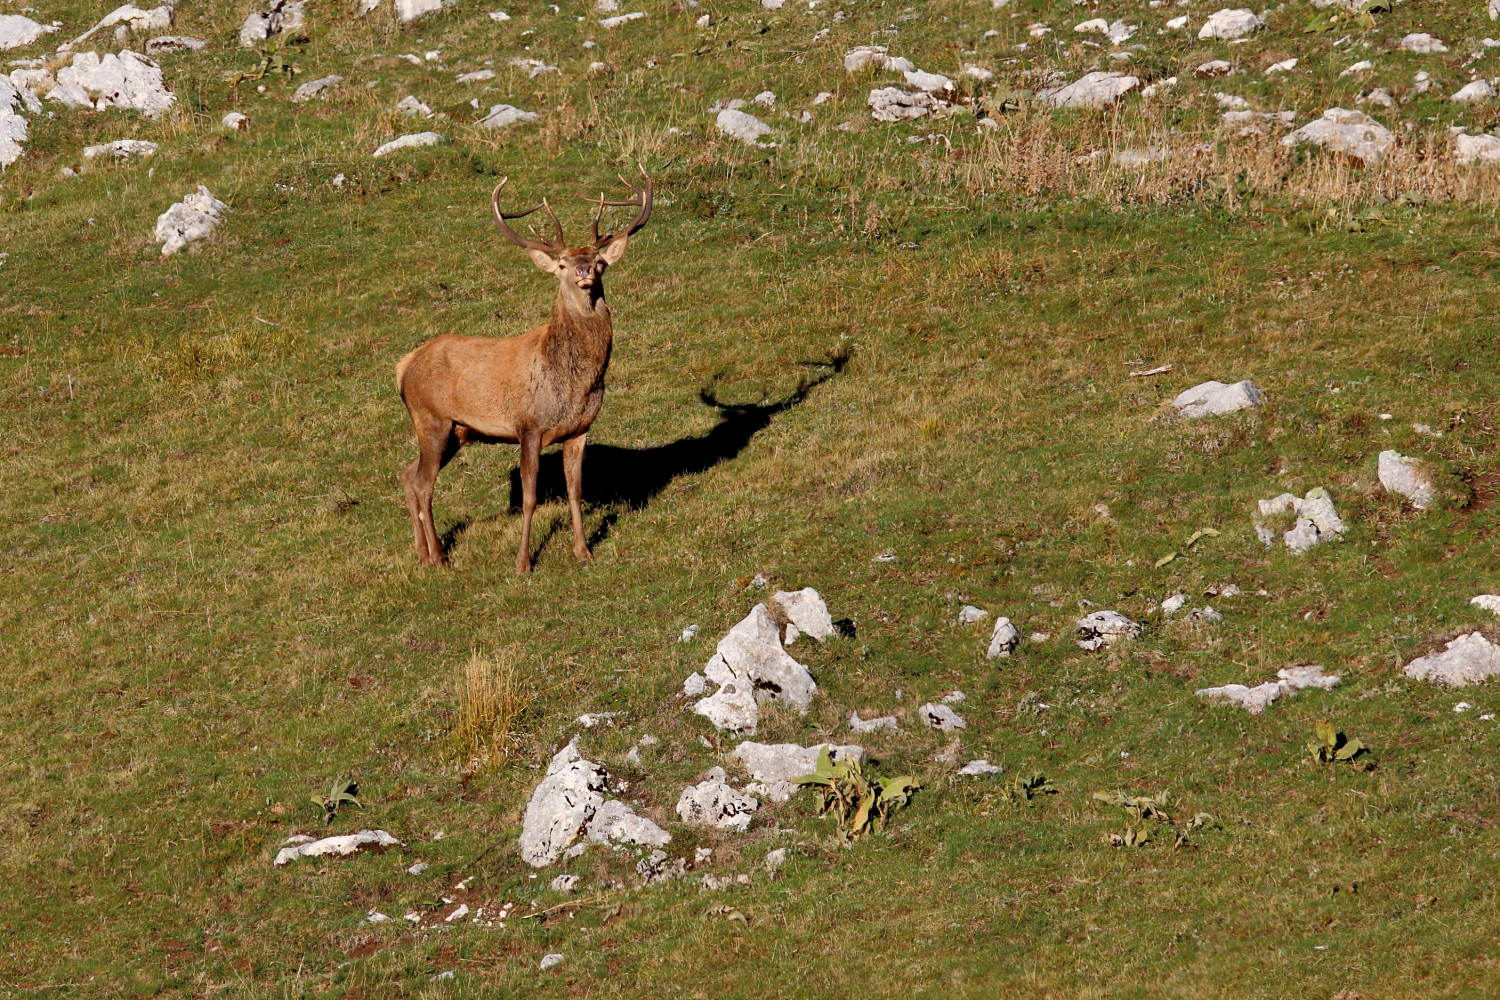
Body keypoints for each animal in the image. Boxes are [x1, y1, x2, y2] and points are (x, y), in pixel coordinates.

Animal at [394, 169, 652, 573]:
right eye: (562, 264)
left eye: (598, 260)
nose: (583, 269)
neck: (574, 383)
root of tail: (403, 367)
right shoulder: (528, 427)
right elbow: (530, 497)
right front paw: (523, 563)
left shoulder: (580, 429)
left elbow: (575, 491)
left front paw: (584, 552)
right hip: (431, 418)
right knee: (423, 483)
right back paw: (438, 557)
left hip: (457, 430)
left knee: (408, 475)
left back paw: (422, 553)